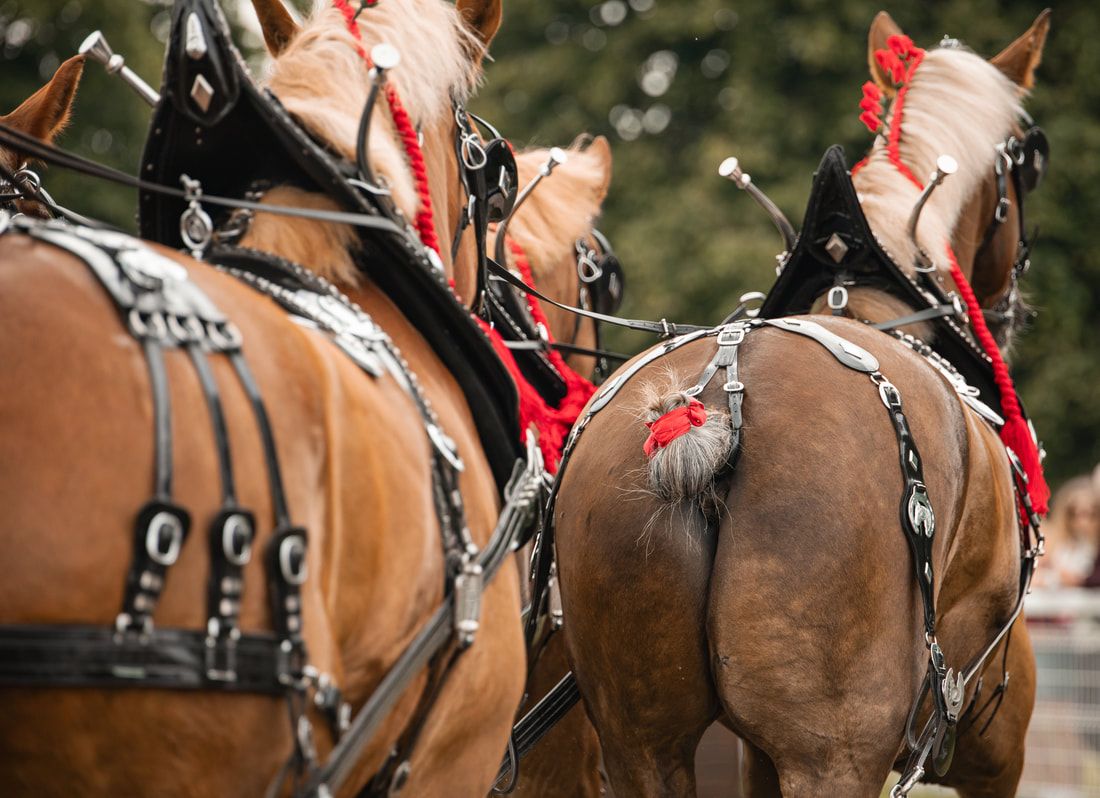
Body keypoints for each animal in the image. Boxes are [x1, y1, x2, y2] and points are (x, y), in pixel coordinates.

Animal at [552, 11, 1052, 797]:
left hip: (640, 742)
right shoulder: (995, 740)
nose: (1014, 310)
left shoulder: (749, 753)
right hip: (833, 750)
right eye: (1027, 166)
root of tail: (717, 399)